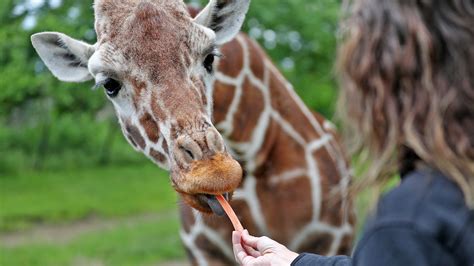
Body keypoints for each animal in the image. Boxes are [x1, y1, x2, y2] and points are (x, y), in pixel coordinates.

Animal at [29, 0, 354, 264]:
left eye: (209, 58)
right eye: (109, 84)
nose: (213, 171)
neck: (255, 151)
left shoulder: (332, 239)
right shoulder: (202, 252)